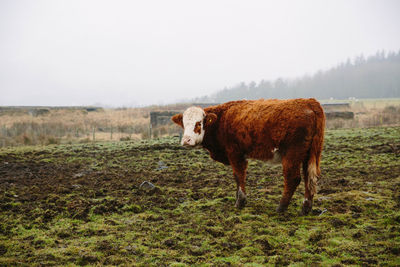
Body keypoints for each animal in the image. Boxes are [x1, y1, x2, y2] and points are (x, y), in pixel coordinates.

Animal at [172, 98, 324, 216]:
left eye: (199, 123)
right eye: (184, 124)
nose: (186, 140)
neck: (221, 120)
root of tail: (309, 102)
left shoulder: (235, 153)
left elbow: (239, 175)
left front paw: (240, 202)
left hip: (291, 155)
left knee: (293, 179)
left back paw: (281, 207)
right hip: (309, 155)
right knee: (309, 178)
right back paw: (305, 208)